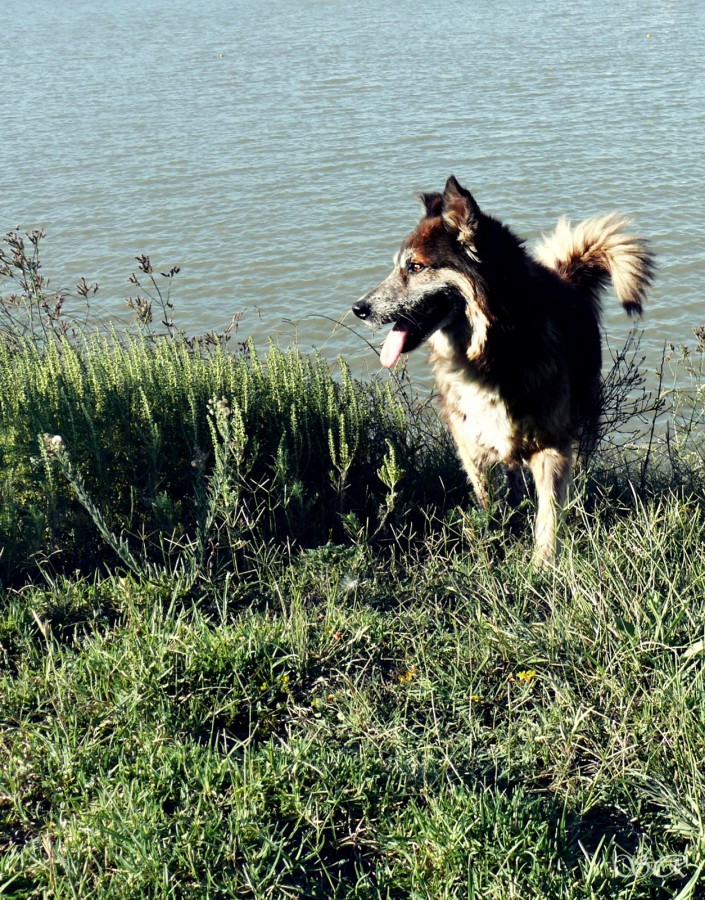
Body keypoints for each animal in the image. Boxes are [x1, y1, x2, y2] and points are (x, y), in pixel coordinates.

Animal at [352, 176, 656, 564]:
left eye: (415, 267)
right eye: (398, 265)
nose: (359, 308)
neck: (491, 351)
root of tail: (567, 277)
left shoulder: (551, 444)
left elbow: (549, 512)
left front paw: (543, 563)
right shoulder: (471, 444)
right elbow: (487, 499)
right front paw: (492, 542)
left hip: (586, 412)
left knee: (581, 464)